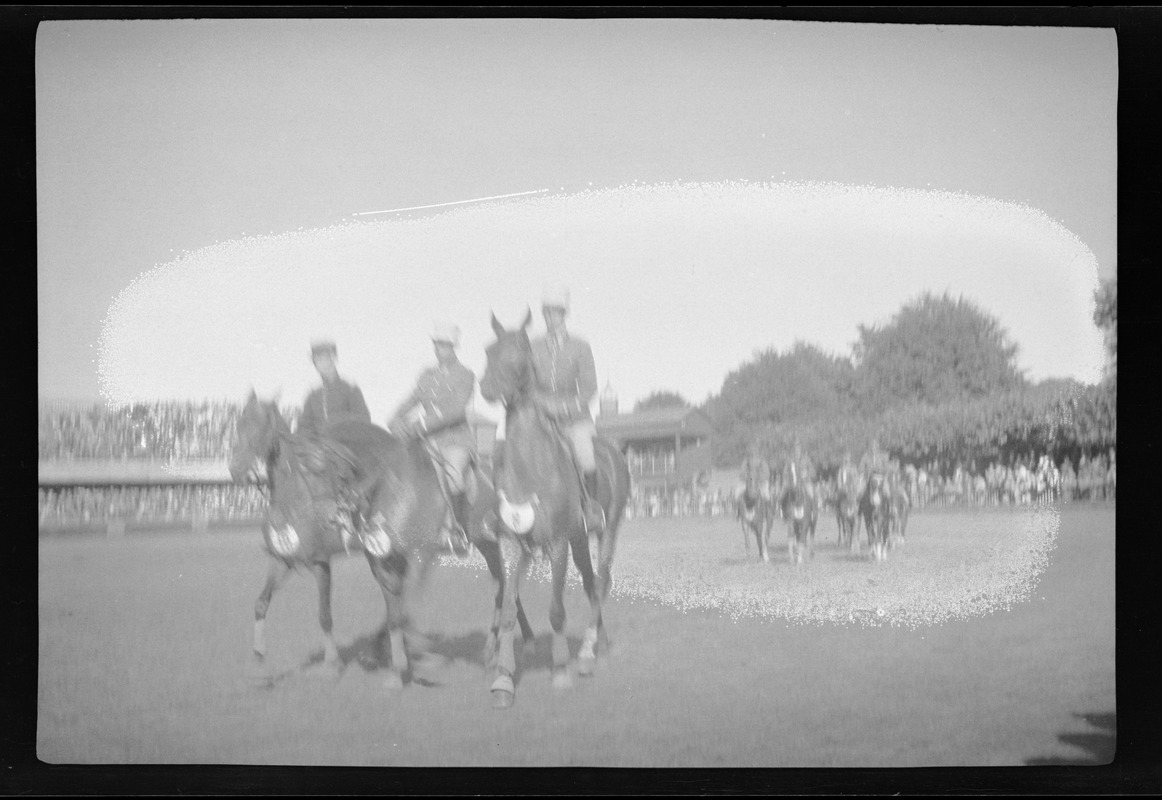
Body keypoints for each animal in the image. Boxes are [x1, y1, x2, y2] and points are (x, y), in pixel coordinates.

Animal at [226, 390, 534, 688]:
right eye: (239, 425)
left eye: (261, 427)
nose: (236, 470)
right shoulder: (286, 560)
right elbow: (262, 603)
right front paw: (258, 665)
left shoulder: (330, 562)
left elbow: (334, 614)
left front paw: (336, 665)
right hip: (486, 547)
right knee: (503, 588)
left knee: (503, 589)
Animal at [476, 309, 632, 711]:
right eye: (488, 350)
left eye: (520, 353)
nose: (486, 388)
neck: (529, 466)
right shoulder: (514, 544)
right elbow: (509, 610)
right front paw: (503, 680)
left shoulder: (557, 543)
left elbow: (556, 611)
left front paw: (560, 670)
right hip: (579, 541)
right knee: (592, 583)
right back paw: (600, 645)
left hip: (607, 532)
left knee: (602, 581)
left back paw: (588, 654)